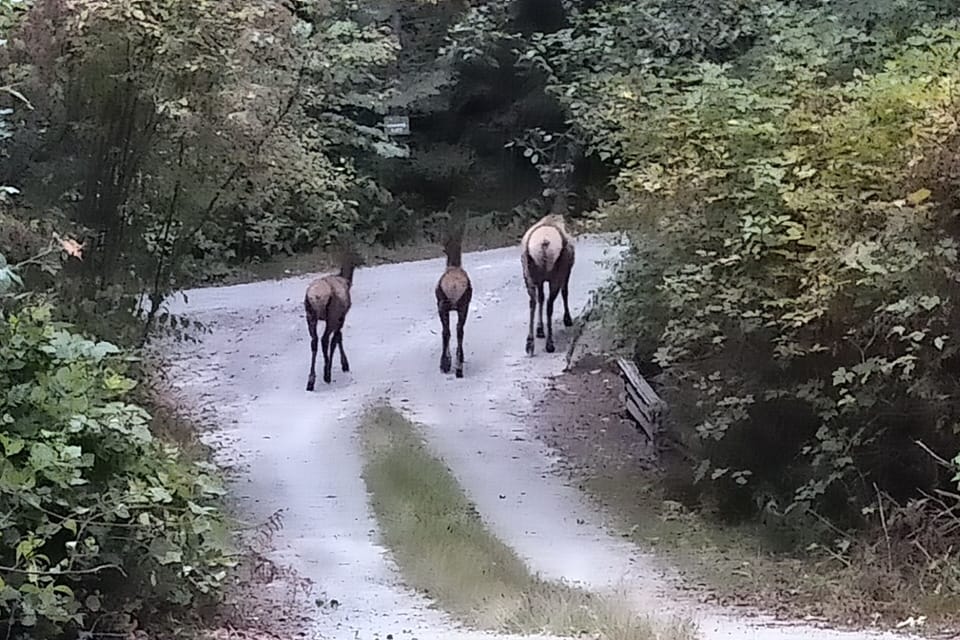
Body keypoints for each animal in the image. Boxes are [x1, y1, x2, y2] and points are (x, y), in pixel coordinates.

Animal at [304, 246, 364, 391]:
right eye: (356, 251)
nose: (363, 260)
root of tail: (316, 296)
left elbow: (338, 338)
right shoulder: (341, 316)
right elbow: (337, 338)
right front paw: (345, 365)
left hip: (310, 315)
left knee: (314, 341)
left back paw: (311, 380)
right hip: (332, 314)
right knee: (325, 340)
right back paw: (327, 373)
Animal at [521, 193, 575, 356]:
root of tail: (544, 243)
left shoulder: (539, 280)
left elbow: (540, 298)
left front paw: (540, 329)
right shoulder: (566, 271)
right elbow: (565, 292)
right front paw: (567, 319)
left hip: (528, 273)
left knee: (533, 301)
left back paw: (530, 343)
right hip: (556, 273)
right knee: (550, 304)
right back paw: (550, 344)